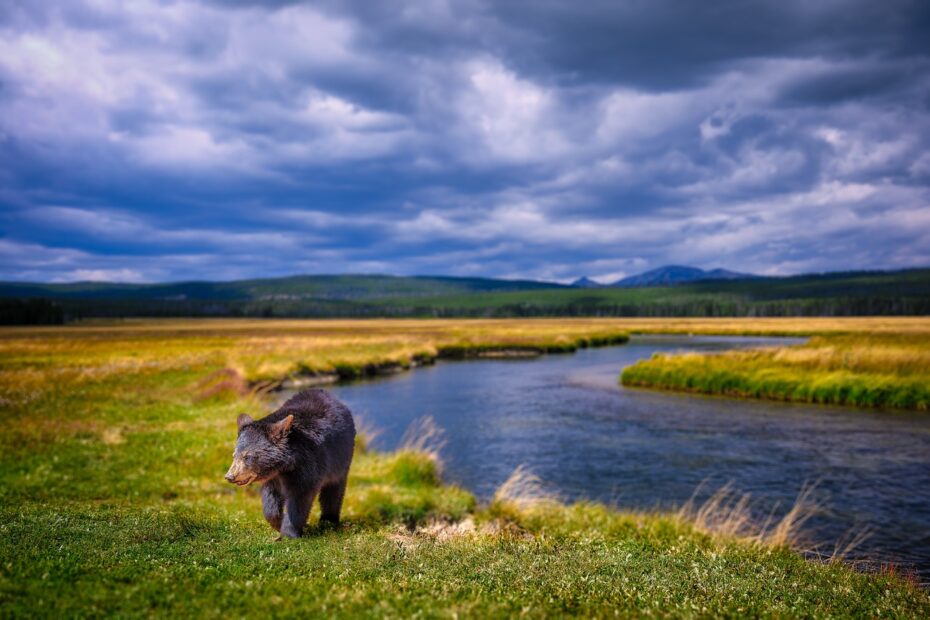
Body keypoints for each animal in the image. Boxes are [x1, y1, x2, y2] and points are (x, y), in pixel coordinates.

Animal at [224, 388, 356, 536]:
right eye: (234, 455)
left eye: (247, 456)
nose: (230, 476)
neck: (284, 466)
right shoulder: (272, 478)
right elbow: (271, 499)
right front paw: (277, 522)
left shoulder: (308, 465)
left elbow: (299, 498)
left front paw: (289, 533)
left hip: (341, 459)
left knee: (334, 488)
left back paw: (328, 521)